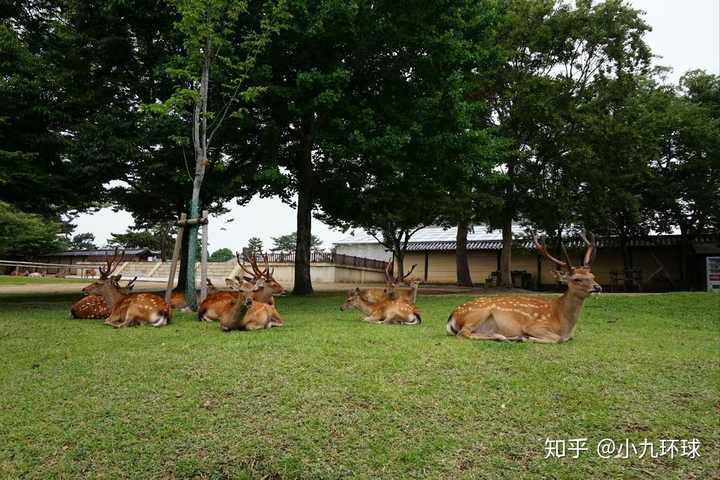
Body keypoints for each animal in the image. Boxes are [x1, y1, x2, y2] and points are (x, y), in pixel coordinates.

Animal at [448, 232, 600, 342]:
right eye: (576, 279)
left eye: (592, 275)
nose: (598, 288)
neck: (563, 323)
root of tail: (452, 316)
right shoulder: (534, 325)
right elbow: (558, 339)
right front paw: (527, 338)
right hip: (478, 313)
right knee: (463, 333)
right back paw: (509, 337)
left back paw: (505, 337)